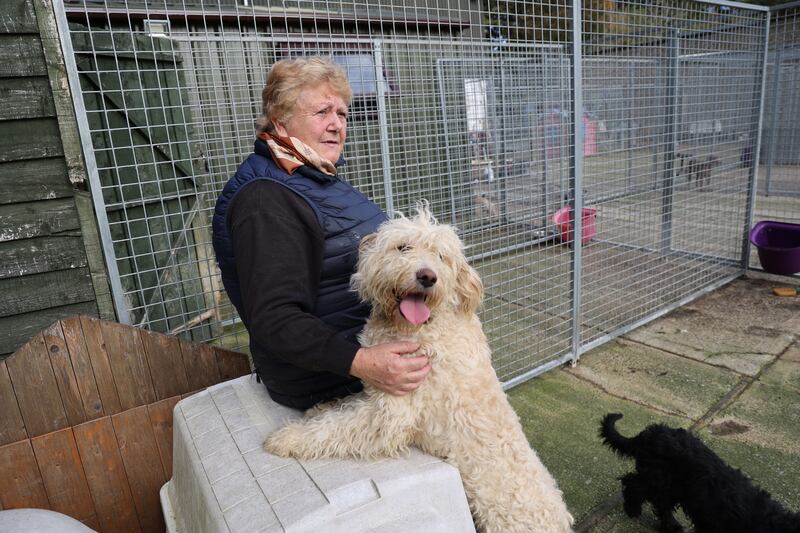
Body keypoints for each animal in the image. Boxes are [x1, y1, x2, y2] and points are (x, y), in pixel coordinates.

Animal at [266, 205, 572, 532]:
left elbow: (335, 429)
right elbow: (346, 407)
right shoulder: (379, 389)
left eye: (441, 256)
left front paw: (287, 438)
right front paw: (322, 408)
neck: (422, 328)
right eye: (404, 247)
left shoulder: (390, 416)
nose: (427, 276)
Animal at [600, 414, 800, 528]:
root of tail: (652, 432)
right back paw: (633, 510)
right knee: (633, 483)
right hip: (660, 480)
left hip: (674, 487)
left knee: (658, 501)